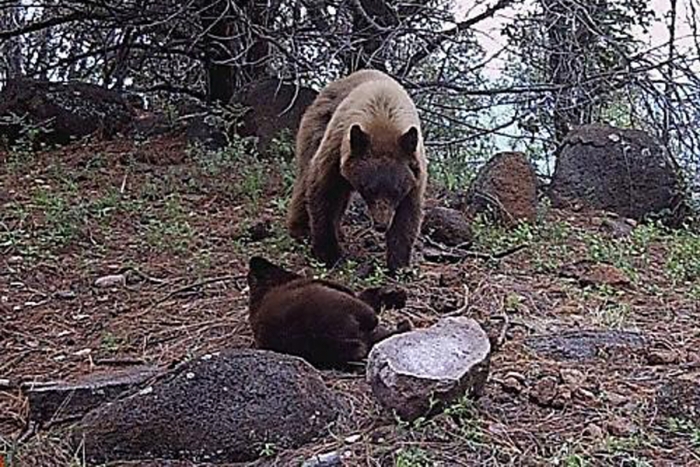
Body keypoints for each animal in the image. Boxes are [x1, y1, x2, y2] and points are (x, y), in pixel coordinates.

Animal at [284, 71, 426, 272]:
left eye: (396, 191)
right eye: (369, 189)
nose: (381, 225)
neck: (383, 119)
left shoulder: (415, 171)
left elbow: (408, 212)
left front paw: (400, 266)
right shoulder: (336, 149)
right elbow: (323, 191)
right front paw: (329, 254)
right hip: (315, 127)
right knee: (305, 178)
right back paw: (300, 230)